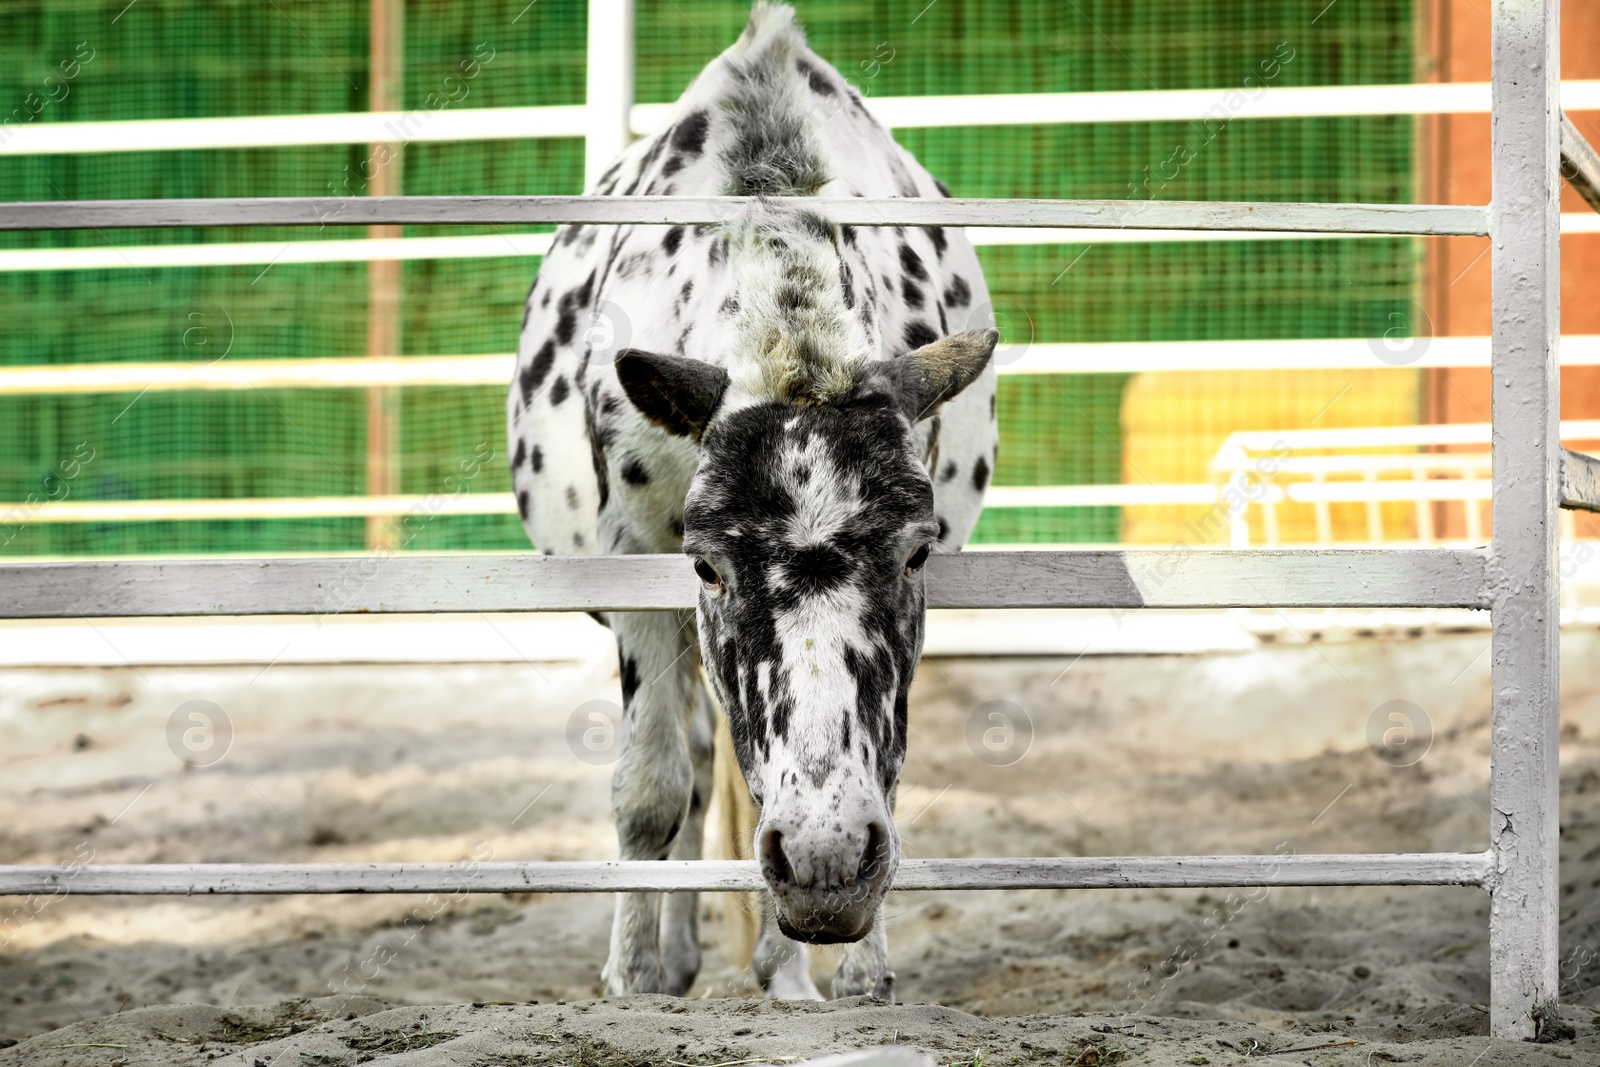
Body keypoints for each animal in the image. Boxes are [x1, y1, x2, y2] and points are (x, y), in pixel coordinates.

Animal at [505, 0, 992, 1004]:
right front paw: (634, 973)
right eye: (707, 563)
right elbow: (650, 787)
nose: (826, 862)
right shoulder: (634, 562)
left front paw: (852, 977)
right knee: (696, 760)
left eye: (917, 549)